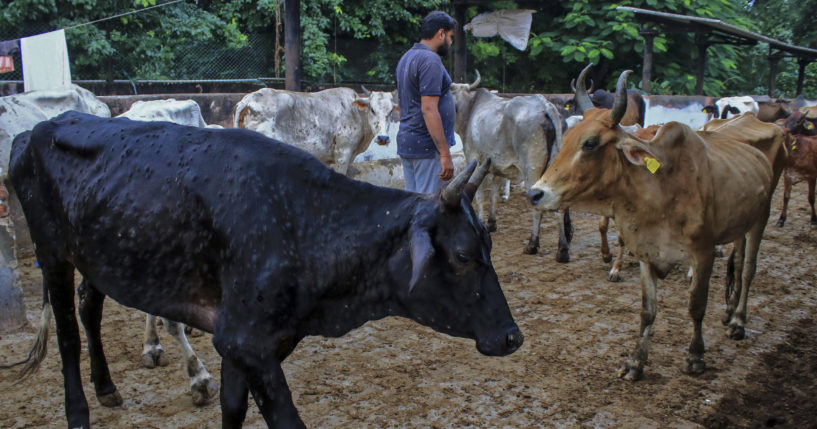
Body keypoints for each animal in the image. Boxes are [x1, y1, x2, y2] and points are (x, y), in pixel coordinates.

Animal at [7, 111, 524, 428]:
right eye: (462, 256)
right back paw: (79, 412)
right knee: (68, 336)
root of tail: (37, 129)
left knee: (89, 309)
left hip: (96, 256)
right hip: (52, 252)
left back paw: (107, 387)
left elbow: (233, 409)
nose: (512, 337)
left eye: (489, 245)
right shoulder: (246, 340)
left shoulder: (243, 341)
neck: (303, 221)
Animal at [524, 71, 788, 382]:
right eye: (565, 139)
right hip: (739, 225)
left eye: (590, 143)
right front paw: (635, 362)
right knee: (738, 258)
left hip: (761, 217)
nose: (536, 193)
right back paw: (729, 310)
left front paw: (695, 357)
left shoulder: (704, 253)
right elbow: (647, 310)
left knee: (748, 269)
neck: (659, 191)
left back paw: (737, 321)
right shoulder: (647, 254)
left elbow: (696, 306)